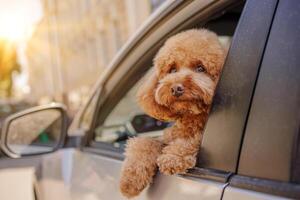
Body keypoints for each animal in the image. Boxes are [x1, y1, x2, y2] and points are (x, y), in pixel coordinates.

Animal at [119, 28, 225, 198]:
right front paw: (130, 180)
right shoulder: (165, 138)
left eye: (200, 68)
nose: (176, 88)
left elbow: (192, 141)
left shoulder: (196, 136)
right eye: (172, 69)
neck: (191, 117)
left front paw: (172, 157)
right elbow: (145, 143)